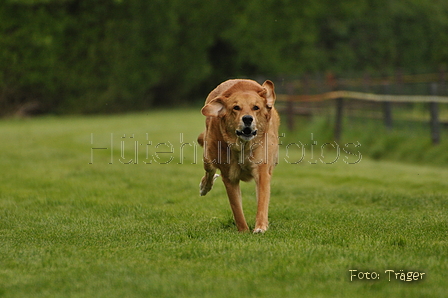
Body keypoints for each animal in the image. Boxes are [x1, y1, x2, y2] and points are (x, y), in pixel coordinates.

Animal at [199, 79, 280, 233]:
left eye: (256, 107)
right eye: (236, 108)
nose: (247, 118)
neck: (243, 146)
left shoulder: (262, 170)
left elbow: (262, 201)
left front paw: (260, 227)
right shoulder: (229, 177)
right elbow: (236, 208)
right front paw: (244, 231)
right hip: (208, 154)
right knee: (209, 171)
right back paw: (204, 186)